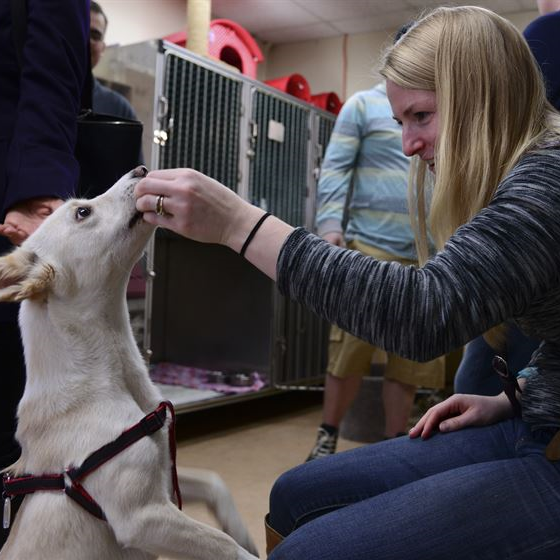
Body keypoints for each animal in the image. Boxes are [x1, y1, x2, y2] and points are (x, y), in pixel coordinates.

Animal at [0, 167, 258, 560]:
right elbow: (226, 547)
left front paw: (241, 529)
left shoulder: (165, 482)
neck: (113, 376)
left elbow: (215, 484)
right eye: (83, 212)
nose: (142, 170)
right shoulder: (142, 517)